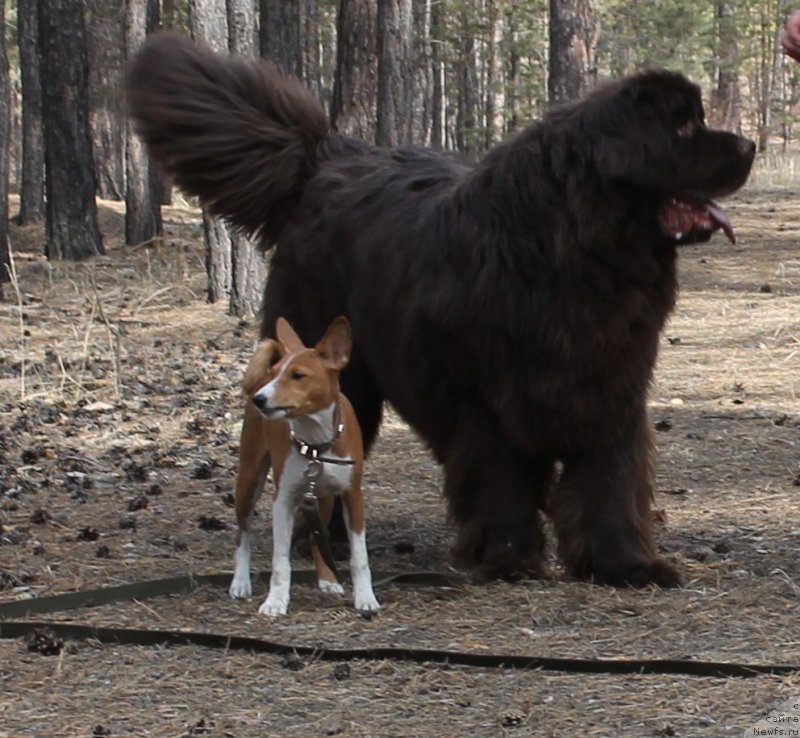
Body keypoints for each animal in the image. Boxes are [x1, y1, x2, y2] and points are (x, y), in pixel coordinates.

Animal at [227, 314, 380, 612]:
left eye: (298, 375)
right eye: (276, 372)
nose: (260, 399)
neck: (317, 444)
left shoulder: (352, 496)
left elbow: (360, 558)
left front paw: (366, 597)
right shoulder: (283, 499)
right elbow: (280, 561)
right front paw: (275, 601)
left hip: (324, 498)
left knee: (315, 537)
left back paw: (327, 580)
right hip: (249, 481)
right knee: (242, 535)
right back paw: (240, 582)